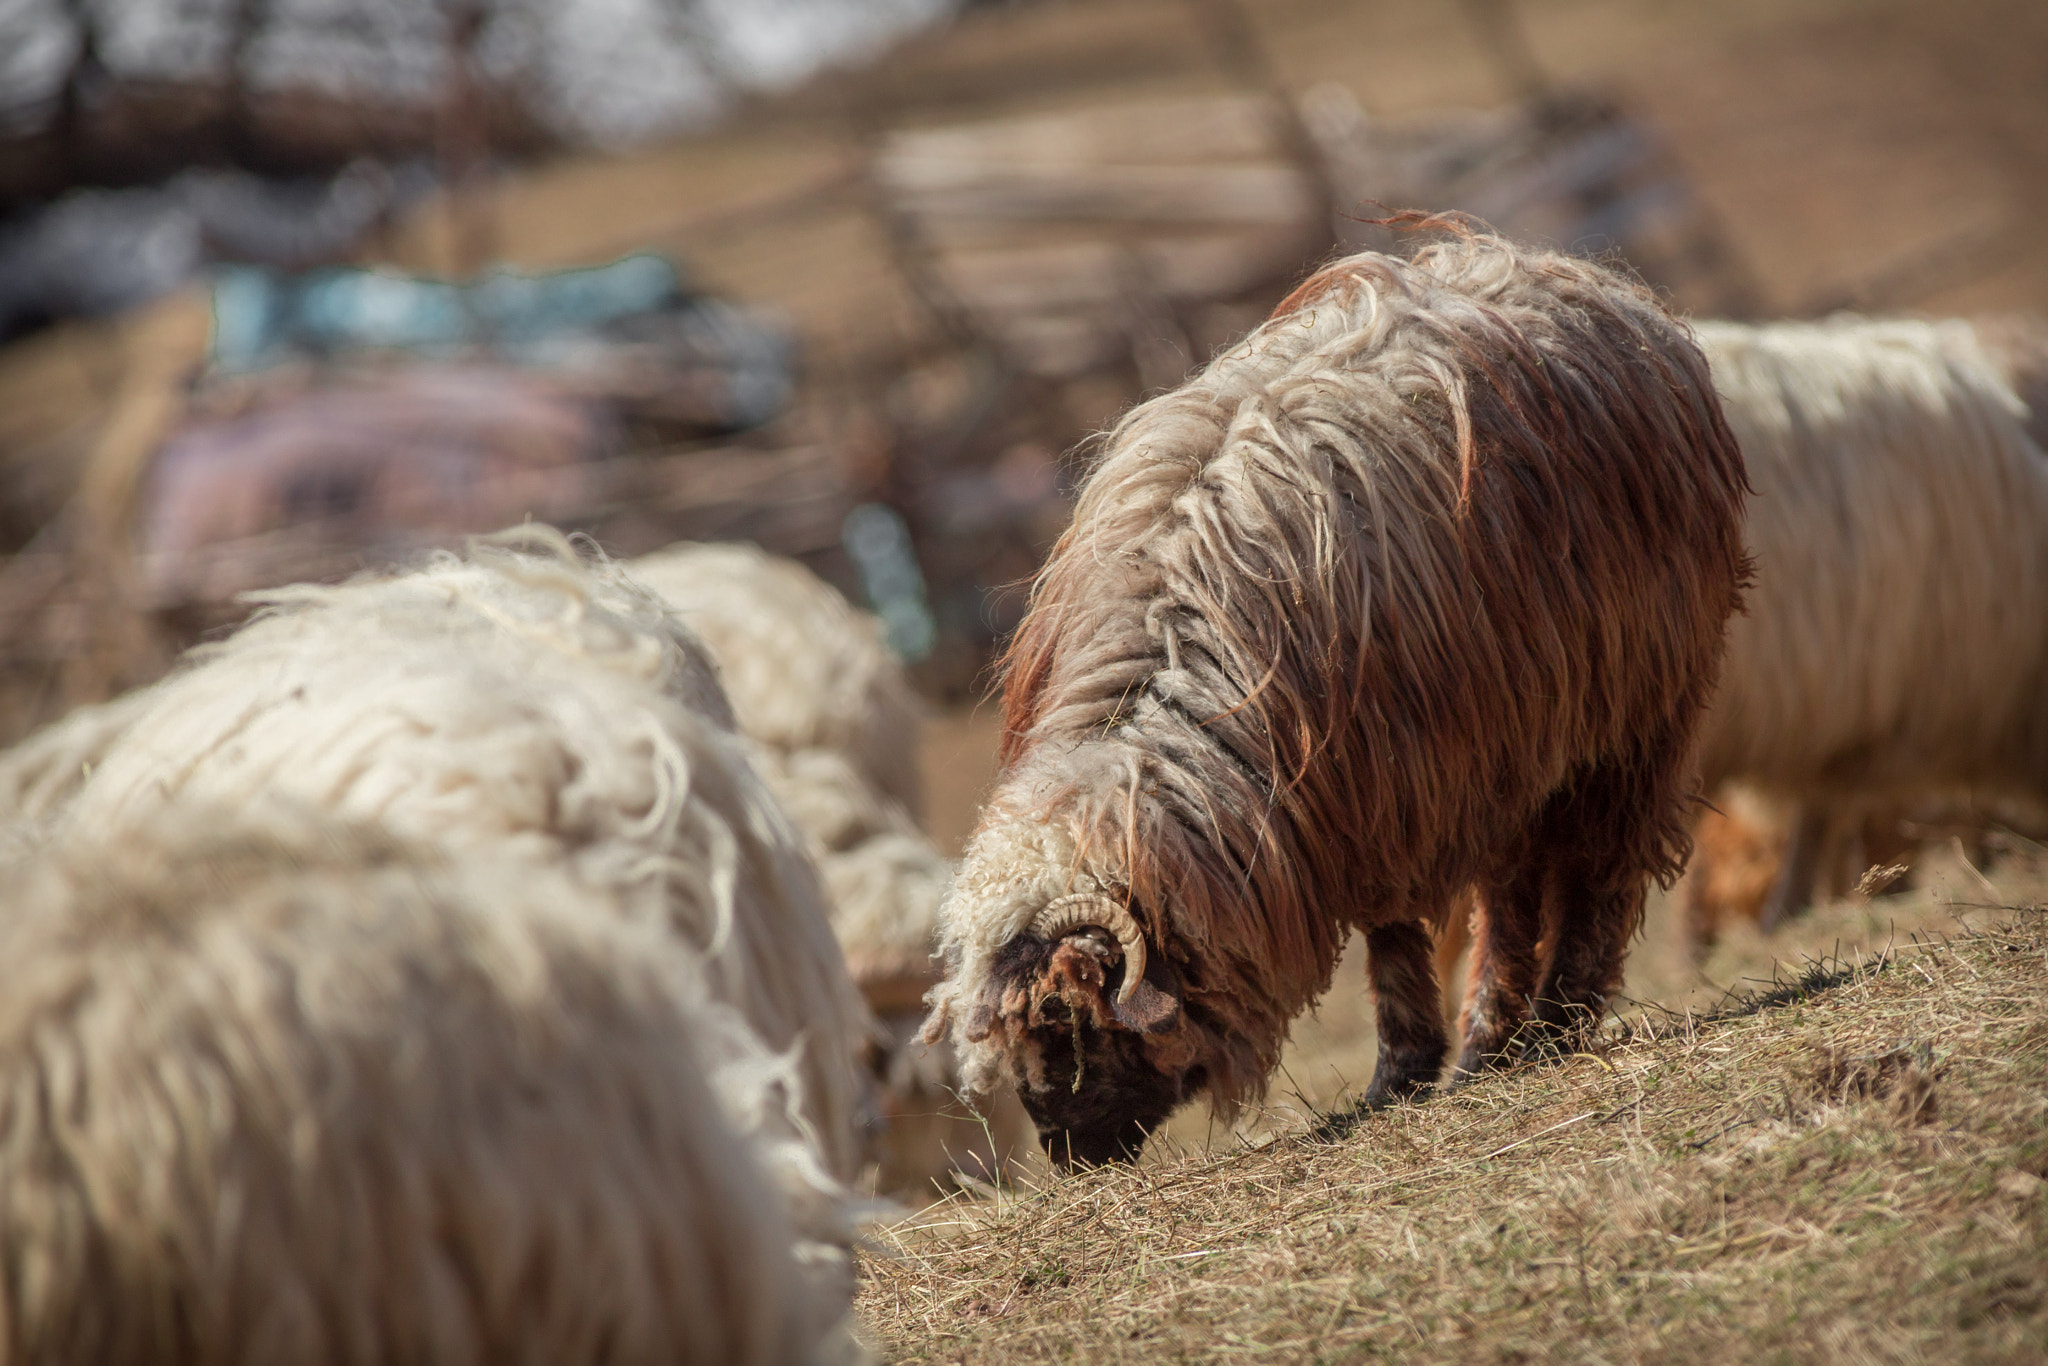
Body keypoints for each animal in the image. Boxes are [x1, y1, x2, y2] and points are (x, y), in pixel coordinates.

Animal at [925, 227, 1744, 1163]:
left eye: (1070, 1020)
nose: (1067, 1156)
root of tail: (1564, 268)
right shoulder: (1371, 802)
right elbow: (1399, 930)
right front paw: (1416, 1066)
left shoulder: (1398, 787)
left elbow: (1393, 932)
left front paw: (1407, 1066)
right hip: (1524, 735)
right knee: (1513, 886)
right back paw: (1498, 1040)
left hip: (1631, 708)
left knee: (1593, 871)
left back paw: (1552, 1021)